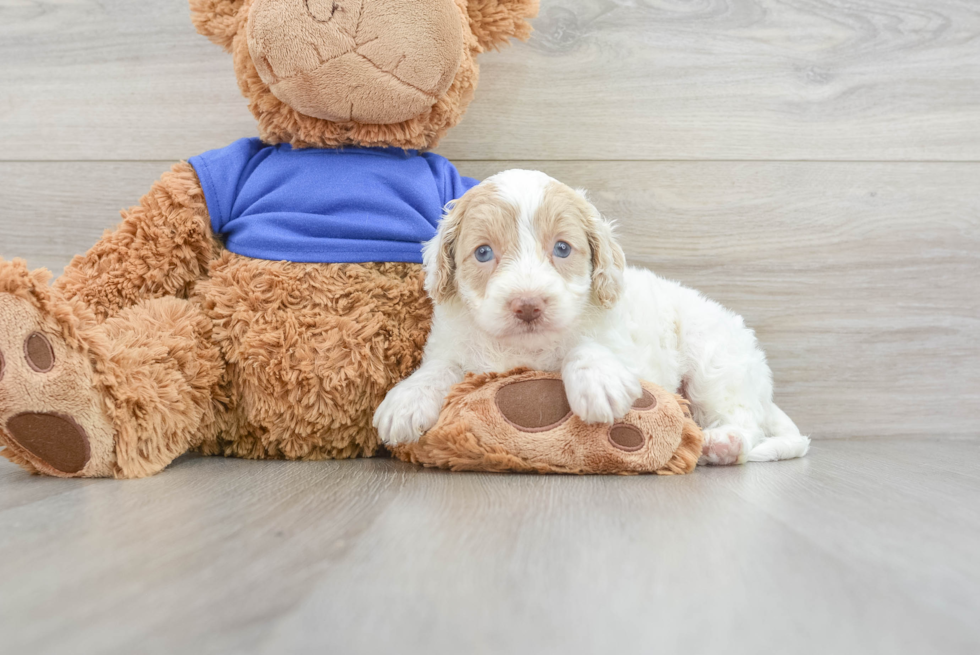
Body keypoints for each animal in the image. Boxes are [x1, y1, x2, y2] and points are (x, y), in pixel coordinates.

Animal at [372, 170, 808, 466]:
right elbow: (441, 367)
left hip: (714, 361)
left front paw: (597, 381)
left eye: (563, 248)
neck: (524, 349)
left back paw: (723, 443)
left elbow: (585, 346)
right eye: (483, 253)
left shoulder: (623, 347)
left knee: (743, 418)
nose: (528, 304)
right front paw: (406, 400)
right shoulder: (451, 343)